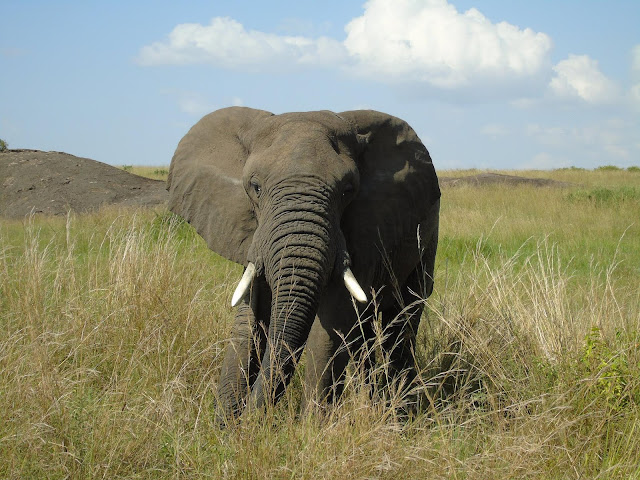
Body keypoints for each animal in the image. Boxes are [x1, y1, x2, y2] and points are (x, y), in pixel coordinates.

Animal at [166, 107, 440, 422]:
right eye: (255, 187)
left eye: (347, 190)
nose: (249, 419)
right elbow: (248, 321)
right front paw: (226, 424)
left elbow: (331, 326)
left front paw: (312, 426)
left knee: (404, 317)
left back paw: (399, 412)